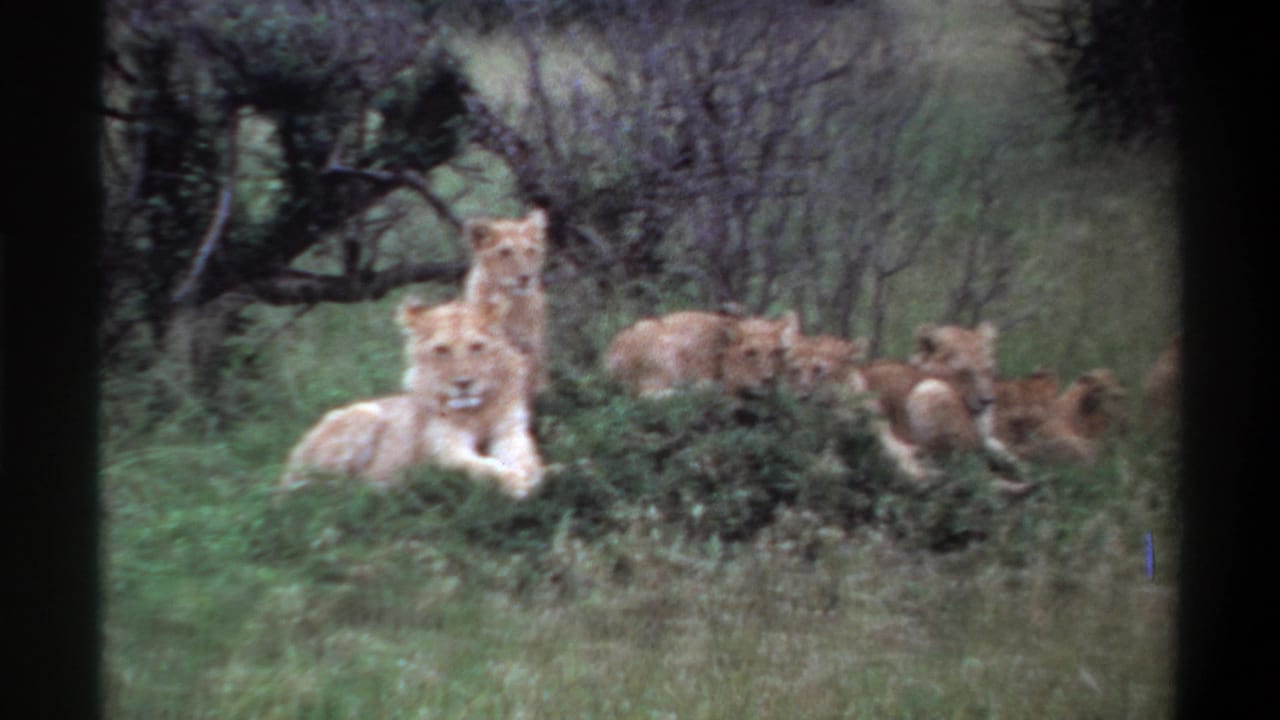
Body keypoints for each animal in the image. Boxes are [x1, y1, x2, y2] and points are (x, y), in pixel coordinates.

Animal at [280, 300, 543, 499]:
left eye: (477, 347)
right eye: (442, 350)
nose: (463, 383)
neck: (476, 411)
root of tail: (290, 462)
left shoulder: (510, 431)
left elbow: (526, 457)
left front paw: (535, 475)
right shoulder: (445, 449)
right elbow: (481, 467)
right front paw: (515, 483)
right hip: (365, 414)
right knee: (324, 490)